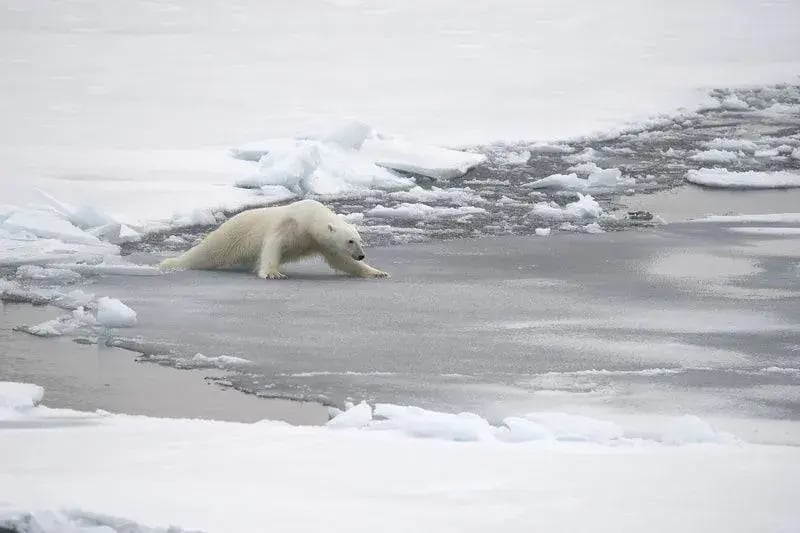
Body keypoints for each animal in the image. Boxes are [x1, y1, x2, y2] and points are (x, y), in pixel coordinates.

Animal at [159, 199, 388, 279]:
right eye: (350, 241)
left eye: (359, 239)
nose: (361, 255)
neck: (309, 218)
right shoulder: (288, 225)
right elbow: (273, 245)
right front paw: (273, 273)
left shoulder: (319, 242)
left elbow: (340, 261)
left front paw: (377, 272)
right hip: (231, 235)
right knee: (207, 252)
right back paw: (170, 263)